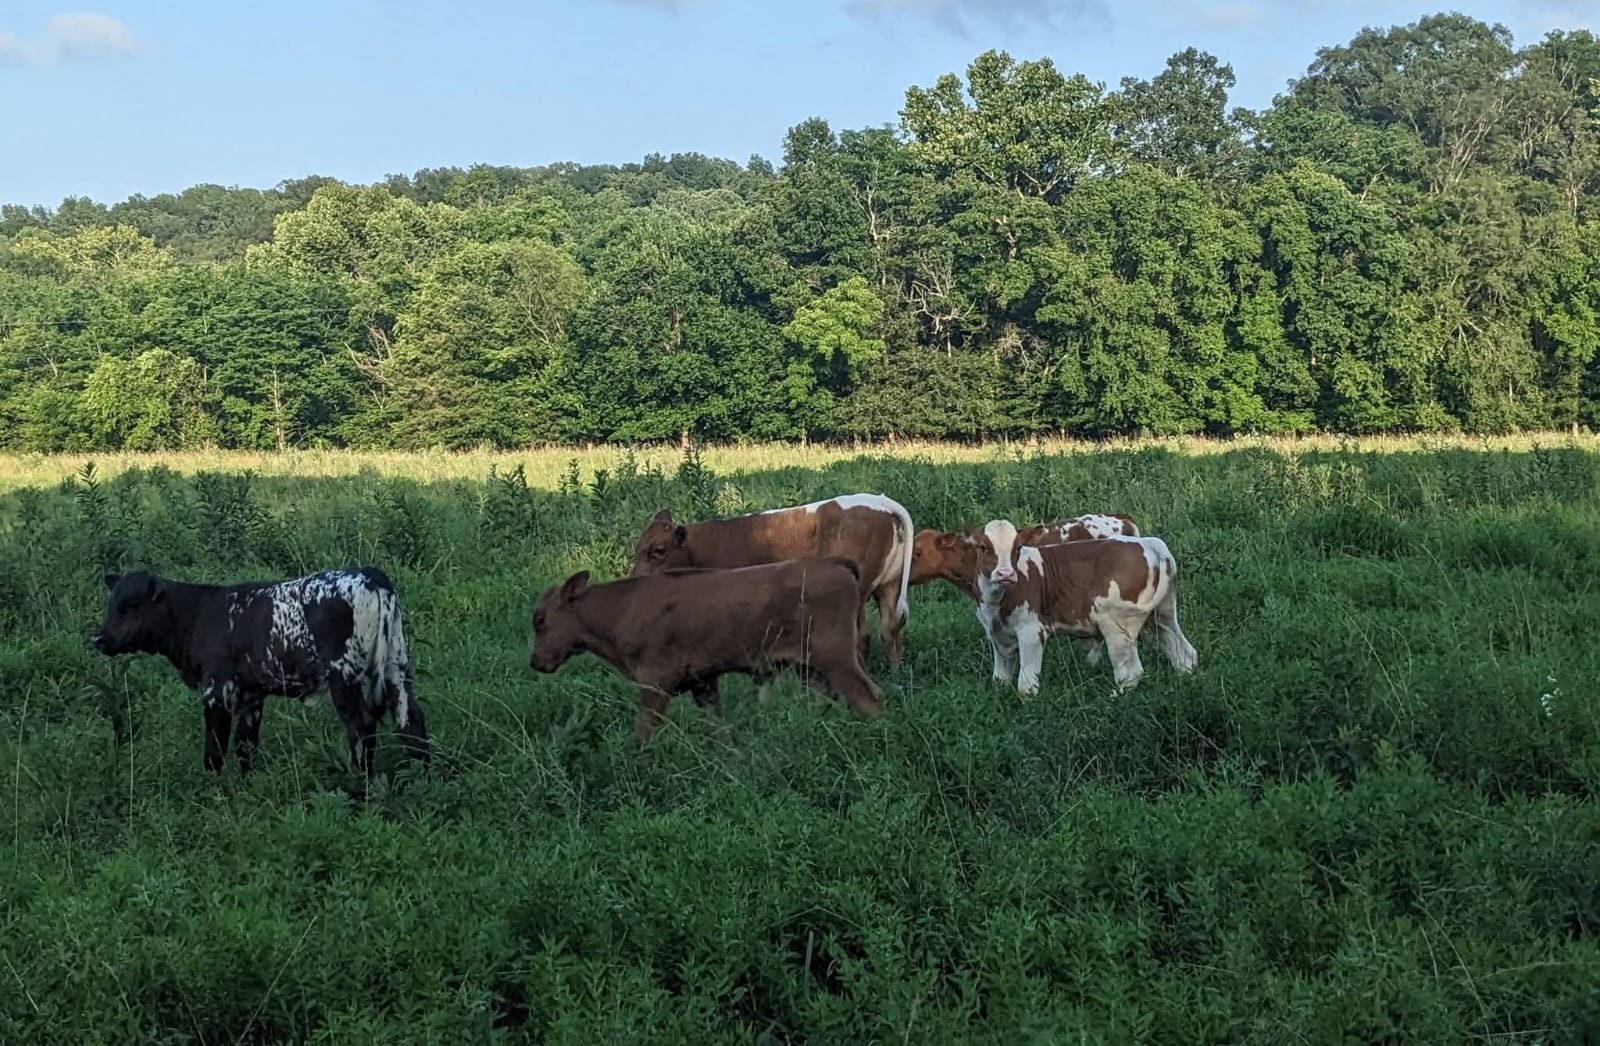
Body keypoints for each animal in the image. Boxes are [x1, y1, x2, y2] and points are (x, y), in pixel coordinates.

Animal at [89, 567, 428, 776]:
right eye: (111, 603)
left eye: (131, 604)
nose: (99, 639)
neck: (198, 614)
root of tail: (370, 574)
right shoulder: (252, 695)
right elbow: (245, 745)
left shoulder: (217, 690)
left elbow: (215, 748)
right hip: (396, 665)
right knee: (411, 718)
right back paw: (420, 772)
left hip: (343, 676)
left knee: (361, 725)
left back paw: (362, 781)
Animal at [529, 557, 886, 742]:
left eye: (540, 619)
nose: (535, 661)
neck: (622, 607)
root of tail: (831, 562)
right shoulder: (703, 684)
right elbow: (719, 732)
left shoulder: (655, 684)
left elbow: (643, 732)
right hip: (811, 670)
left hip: (837, 660)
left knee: (870, 699)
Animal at [631, 493, 915, 667]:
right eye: (637, 548)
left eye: (658, 550)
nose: (634, 581)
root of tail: (882, 502)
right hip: (889, 586)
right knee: (890, 630)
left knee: (863, 635)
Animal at [970, 519, 1198, 696]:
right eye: (983, 547)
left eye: (1017, 547)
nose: (1005, 574)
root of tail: (1151, 544)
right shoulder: (997, 635)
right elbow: (1000, 679)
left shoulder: (1031, 631)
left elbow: (1026, 685)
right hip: (1162, 615)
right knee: (1184, 654)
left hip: (1117, 626)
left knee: (1130, 672)